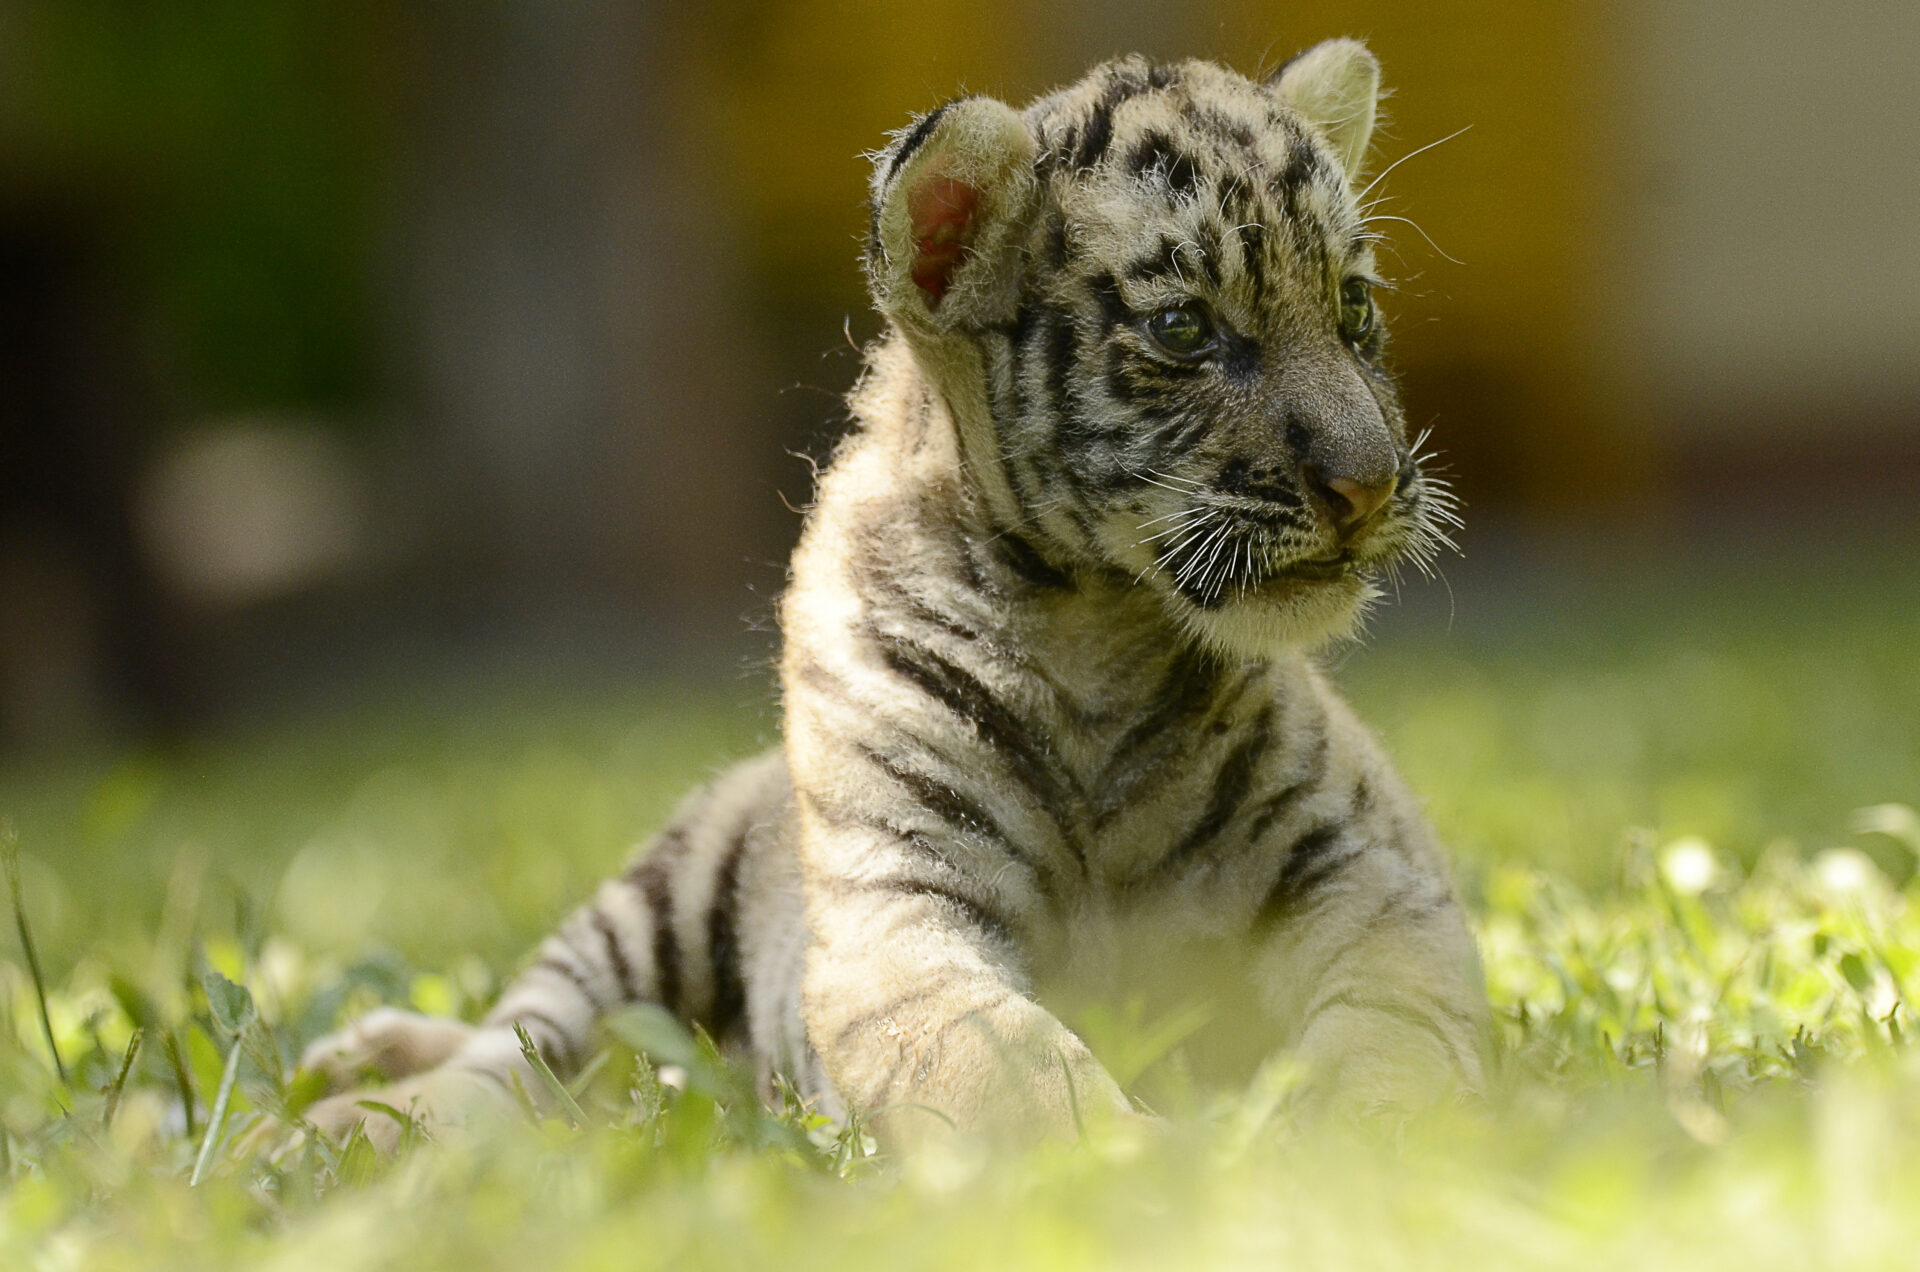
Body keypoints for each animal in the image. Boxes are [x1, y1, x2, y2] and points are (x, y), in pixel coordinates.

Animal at [302, 38, 1487, 1152]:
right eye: (1184, 329)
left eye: (1352, 304)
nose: (1371, 484)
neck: (1095, 630)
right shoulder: (896, 918)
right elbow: (1017, 1067)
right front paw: (1150, 1172)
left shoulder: (1369, 869)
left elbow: (1397, 1028)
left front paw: (1363, 1148)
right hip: (659, 894)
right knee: (520, 1046)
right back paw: (364, 1100)